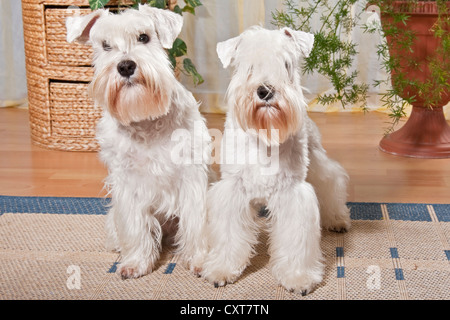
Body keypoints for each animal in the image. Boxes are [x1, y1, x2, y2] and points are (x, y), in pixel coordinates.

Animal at [66, 5, 211, 280]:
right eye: (105, 45)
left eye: (144, 37)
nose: (125, 66)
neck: (145, 119)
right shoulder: (128, 183)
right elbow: (135, 225)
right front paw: (136, 263)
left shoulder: (191, 178)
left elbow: (197, 221)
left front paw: (200, 260)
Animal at [201, 26, 352, 294]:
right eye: (248, 66)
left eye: (286, 64)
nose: (266, 91)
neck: (264, 136)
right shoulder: (232, 190)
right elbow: (228, 234)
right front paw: (222, 269)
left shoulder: (293, 193)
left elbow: (295, 238)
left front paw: (298, 277)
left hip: (318, 162)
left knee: (331, 182)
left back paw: (337, 219)